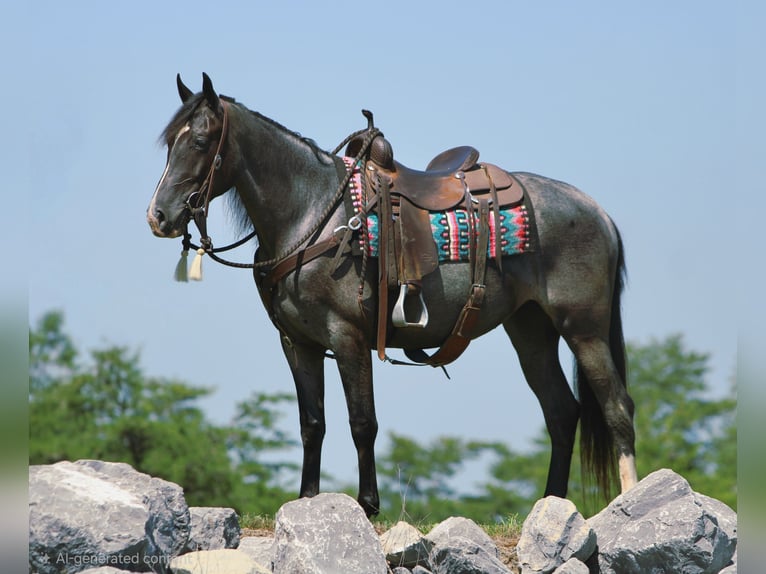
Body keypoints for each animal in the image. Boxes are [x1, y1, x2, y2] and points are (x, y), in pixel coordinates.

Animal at [146, 73, 637, 517]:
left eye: (200, 141)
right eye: (170, 143)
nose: (159, 216)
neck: (312, 215)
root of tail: (598, 212)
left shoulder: (347, 338)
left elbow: (362, 422)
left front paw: (367, 506)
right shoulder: (298, 343)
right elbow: (312, 423)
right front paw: (307, 501)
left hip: (585, 330)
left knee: (617, 407)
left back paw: (628, 500)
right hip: (531, 331)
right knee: (562, 412)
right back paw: (552, 503)